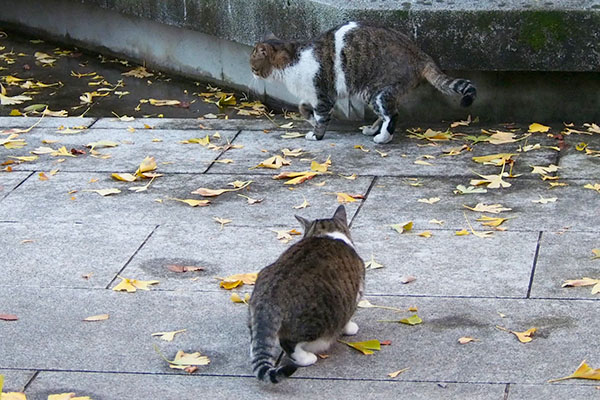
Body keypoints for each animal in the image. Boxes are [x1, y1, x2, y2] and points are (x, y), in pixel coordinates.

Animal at [251, 21, 476, 144]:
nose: (251, 72)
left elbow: (322, 118)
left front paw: (317, 134)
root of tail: (420, 54)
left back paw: (383, 138)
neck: (293, 60)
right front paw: (311, 120)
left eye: (252, 64)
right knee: (385, 114)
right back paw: (372, 130)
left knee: (392, 115)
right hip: (372, 93)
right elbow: (303, 108)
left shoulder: (323, 95)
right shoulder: (312, 96)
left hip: (376, 90)